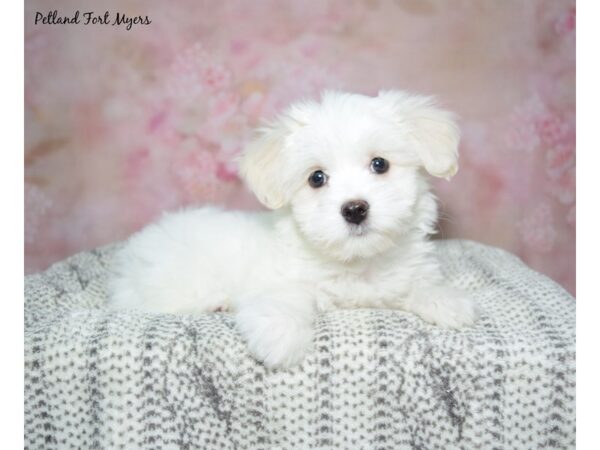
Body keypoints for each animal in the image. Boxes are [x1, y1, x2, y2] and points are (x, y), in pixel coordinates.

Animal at [106, 89, 474, 368]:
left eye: (379, 164)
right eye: (317, 178)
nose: (355, 209)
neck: (356, 262)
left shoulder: (404, 276)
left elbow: (419, 286)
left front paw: (447, 301)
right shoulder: (279, 281)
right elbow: (281, 300)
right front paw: (281, 339)